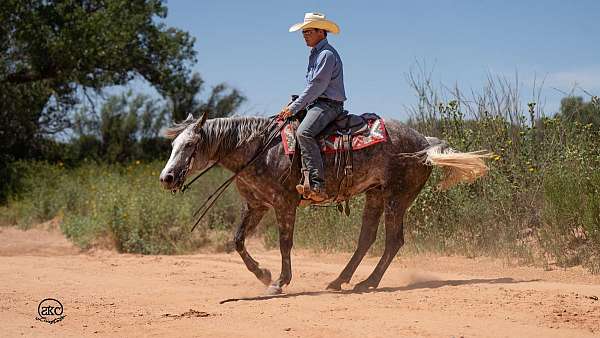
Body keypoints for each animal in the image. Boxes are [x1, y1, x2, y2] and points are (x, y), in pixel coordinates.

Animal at [159, 112, 488, 294]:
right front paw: (263, 274)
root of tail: (425, 143)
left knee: (393, 240)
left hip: (397, 197)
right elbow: (237, 240)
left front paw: (280, 281)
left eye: (191, 145)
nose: (167, 177)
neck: (259, 150)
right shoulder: (255, 206)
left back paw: (367, 283)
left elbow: (284, 244)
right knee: (366, 239)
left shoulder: (284, 204)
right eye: (173, 144)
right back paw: (340, 280)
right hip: (375, 195)